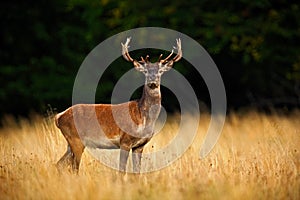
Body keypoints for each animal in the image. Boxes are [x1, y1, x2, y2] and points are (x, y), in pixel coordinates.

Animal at [55, 37, 183, 173]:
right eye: (146, 71)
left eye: (160, 71)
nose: (152, 81)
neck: (143, 118)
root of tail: (59, 116)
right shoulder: (124, 140)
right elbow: (122, 169)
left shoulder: (139, 146)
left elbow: (137, 171)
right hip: (76, 139)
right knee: (74, 168)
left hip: (70, 142)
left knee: (59, 164)